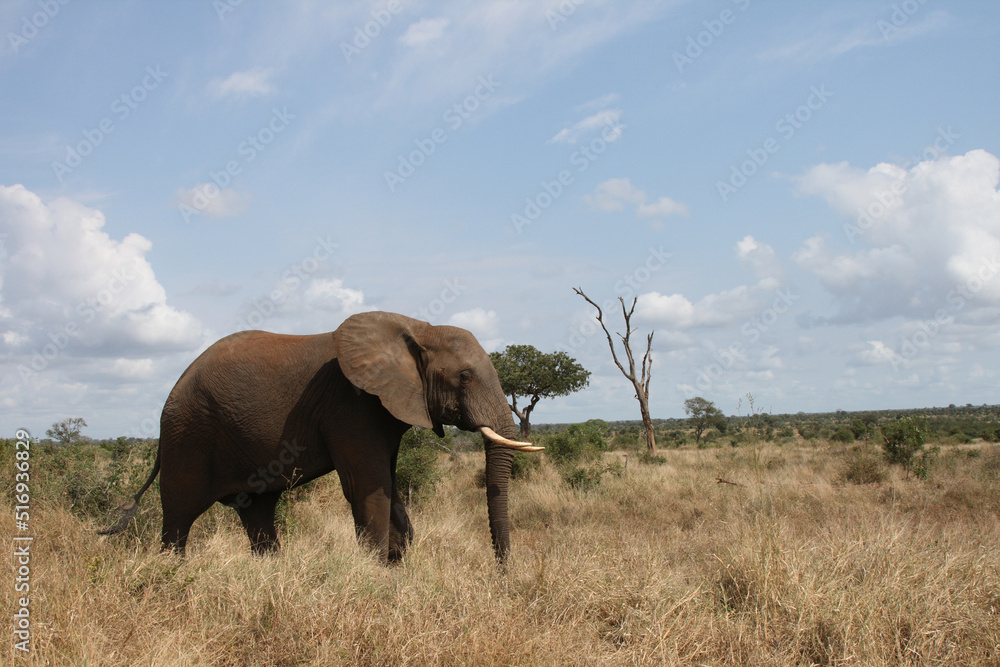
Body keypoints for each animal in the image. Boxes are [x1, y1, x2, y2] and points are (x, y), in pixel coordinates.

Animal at [100, 311, 541, 564]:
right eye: (464, 377)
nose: (503, 574)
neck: (417, 328)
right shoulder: (351, 405)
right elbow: (368, 487)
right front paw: (376, 572)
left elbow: (389, 485)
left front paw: (395, 561)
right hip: (187, 432)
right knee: (179, 516)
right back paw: (170, 573)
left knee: (258, 512)